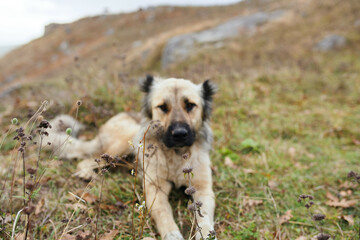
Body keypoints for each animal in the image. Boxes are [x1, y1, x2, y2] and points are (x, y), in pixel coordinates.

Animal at [46, 76, 218, 240]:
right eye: (163, 107)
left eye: (190, 105)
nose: (180, 134)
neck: (176, 153)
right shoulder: (154, 188)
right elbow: (163, 211)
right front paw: (172, 234)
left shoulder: (203, 189)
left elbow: (204, 217)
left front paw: (207, 234)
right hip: (122, 144)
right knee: (89, 159)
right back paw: (87, 173)